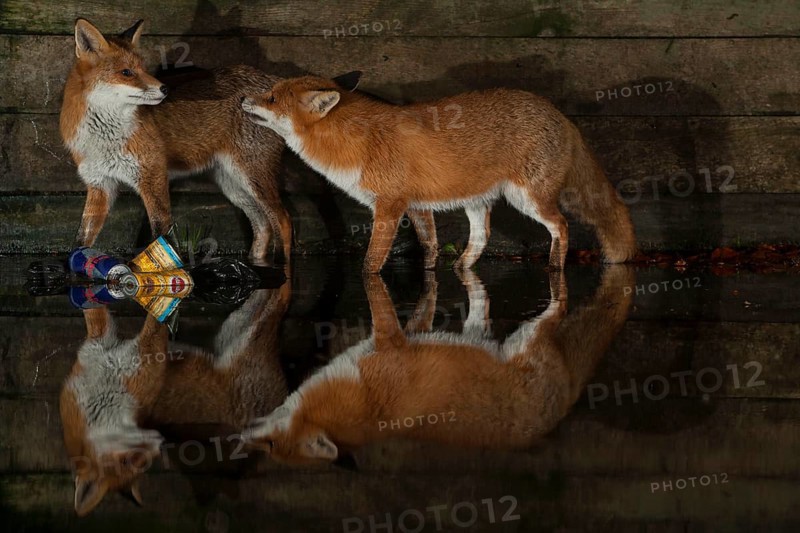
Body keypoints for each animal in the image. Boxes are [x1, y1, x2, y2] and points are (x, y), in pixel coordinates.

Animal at [60, 19, 291, 262]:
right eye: (126, 72)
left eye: (143, 68)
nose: (165, 89)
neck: (105, 137)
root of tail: (273, 81)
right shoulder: (99, 183)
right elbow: (81, 238)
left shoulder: (153, 175)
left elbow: (160, 231)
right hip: (233, 183)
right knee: (263, 225)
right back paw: (254, 261)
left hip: (252, 176)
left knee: (283, 220)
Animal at [60, 284, 290, 516]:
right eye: (130, 461)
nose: (159, 441)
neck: (99, 397)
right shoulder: (141, 363)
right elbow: (153, 327)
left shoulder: (103, 346)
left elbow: (97, 311)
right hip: (247, 336)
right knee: (279, 301)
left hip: (237, 327)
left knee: (271, 297)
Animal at [241, 72, 637, 273]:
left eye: (272, 98)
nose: (243, 100)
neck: (357, 142)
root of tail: (561, 115)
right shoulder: (416, 205)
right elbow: (429, 247)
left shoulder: (389, 206)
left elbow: (371, 262)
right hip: (478, 201)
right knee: (482, 235)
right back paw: (461, 268)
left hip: (528, 199)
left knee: (562, 225)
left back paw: (555, 267)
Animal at [243, 265, 633, 466]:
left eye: (272, 446)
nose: (241, 439)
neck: (360, 399)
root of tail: (560, 409)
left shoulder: (383, 347)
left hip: (532, 335)